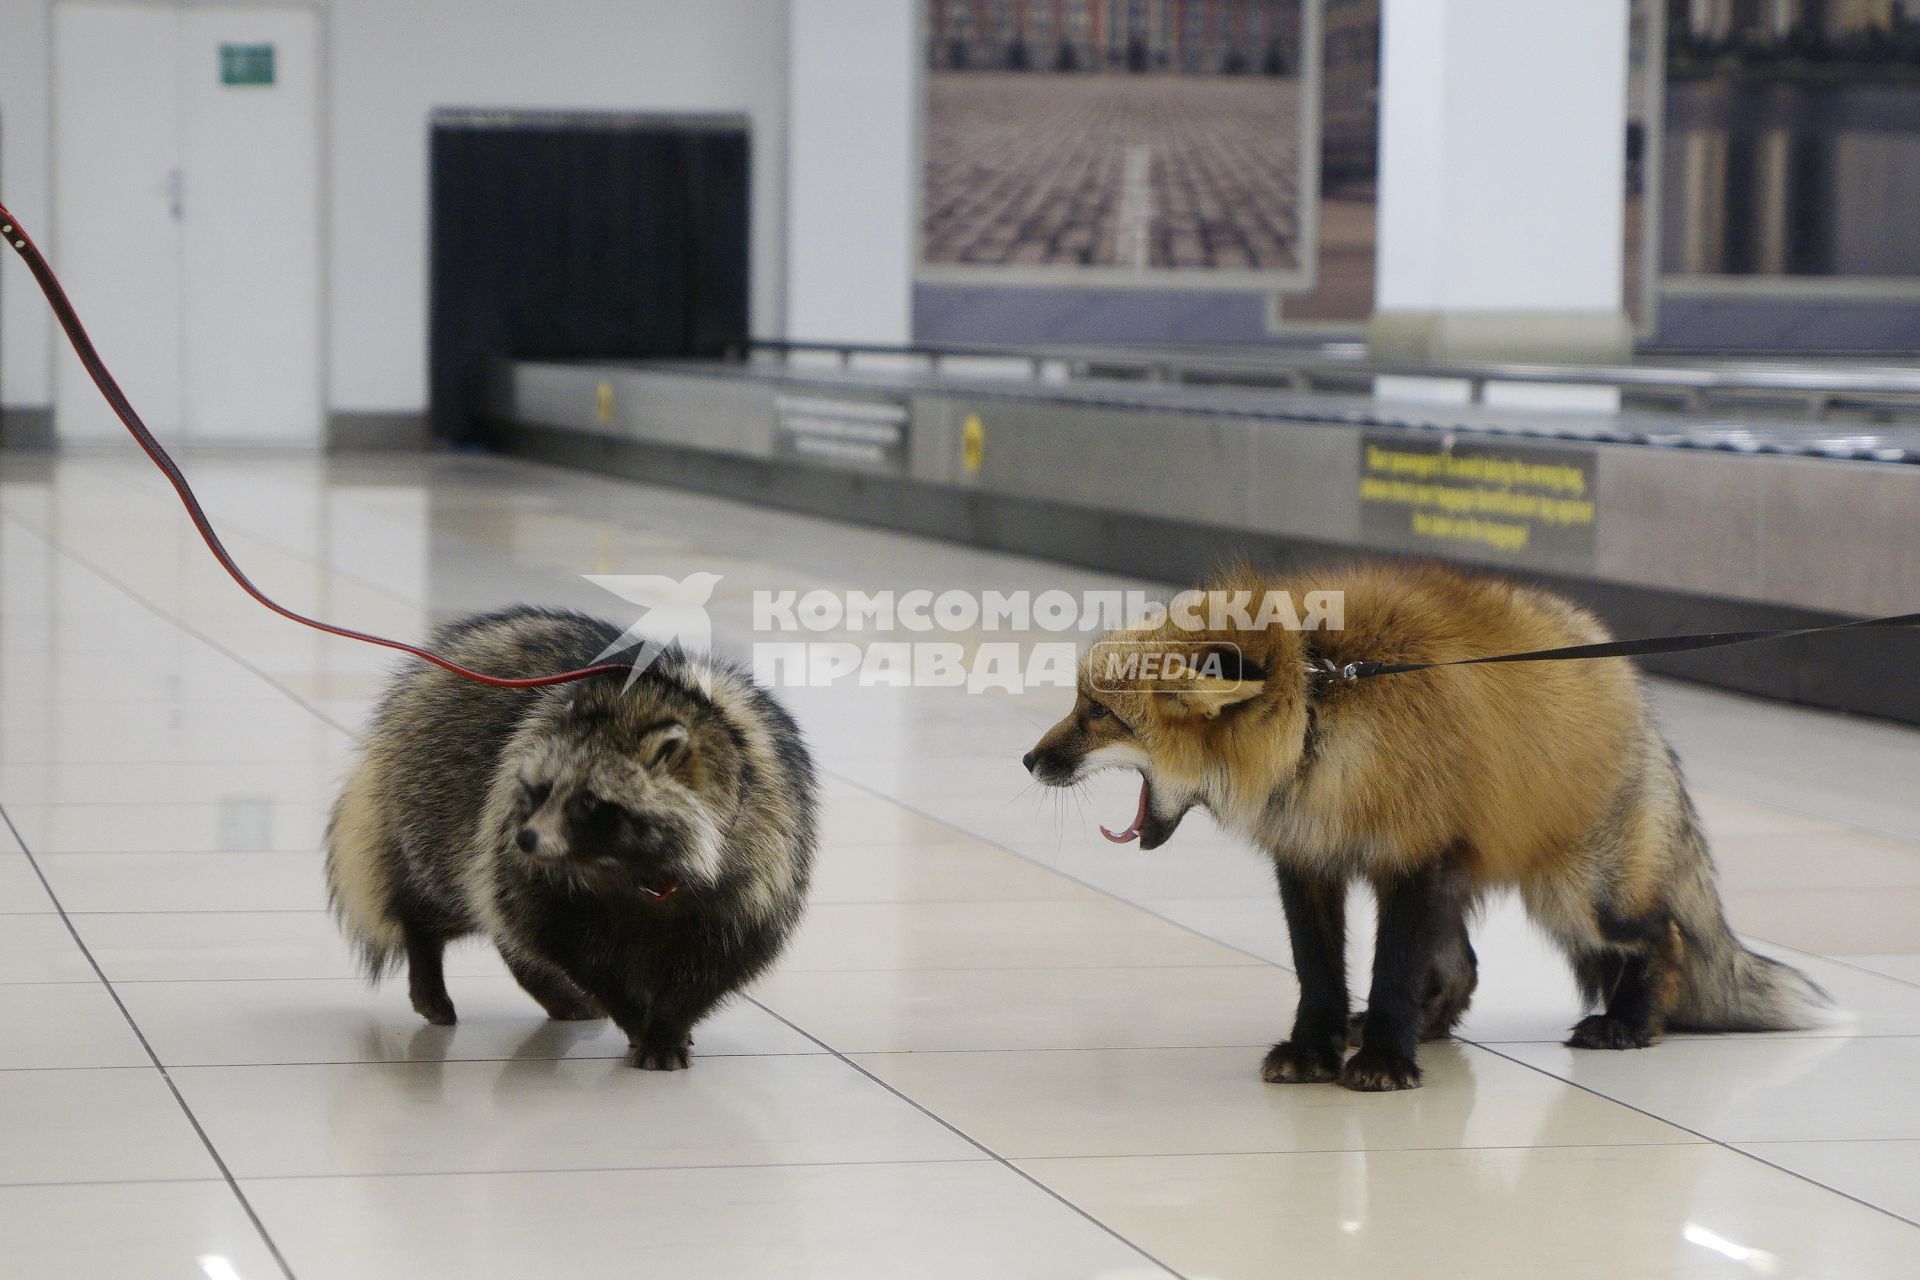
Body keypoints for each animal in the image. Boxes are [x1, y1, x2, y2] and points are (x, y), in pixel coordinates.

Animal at [330, 610, 810, 1074]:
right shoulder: (533, 870)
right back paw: (425, 947)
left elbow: (718, 961)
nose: (525, 838)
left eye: (587, 802)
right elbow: (566, 943)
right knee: (452, 893)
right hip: (437, 797)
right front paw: (634, 1017)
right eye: (542, 789)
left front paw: (668, 1025)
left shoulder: (759, 858)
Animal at [1021, 564, 1827, 1090]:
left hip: (1577, 896)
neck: (1322, 711)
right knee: (1464, 967)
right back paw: (1426, 1028)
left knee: (1662, 937)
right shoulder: (1309, 861)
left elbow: (1389, 973)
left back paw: (1630, 1023)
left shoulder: (1410, 858)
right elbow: (1320, 974)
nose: (1029, 760)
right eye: (1080, 702)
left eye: (1101, 714)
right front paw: (1318, 1049)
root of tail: (1630, 682)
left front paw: (1383, 1060)